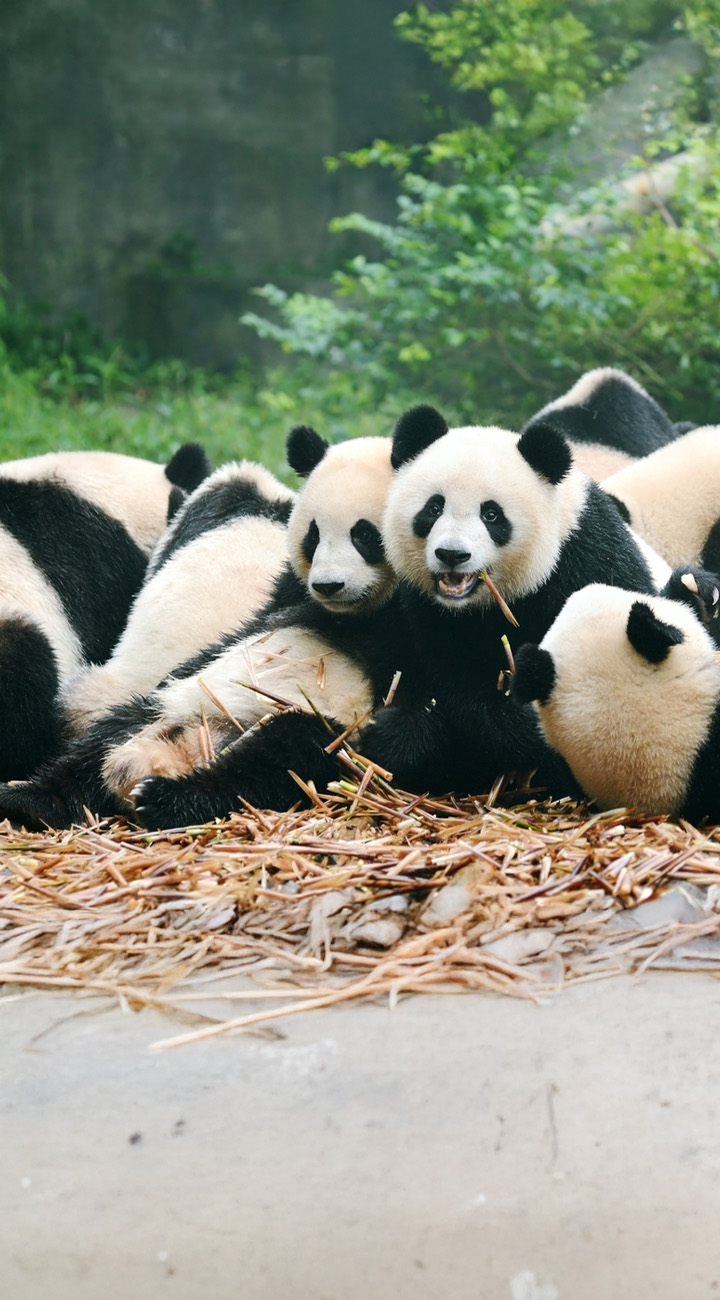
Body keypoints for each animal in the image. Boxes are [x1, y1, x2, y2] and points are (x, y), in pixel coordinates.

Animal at [355, 403, 673, 798]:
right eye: (433, 508)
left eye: (491, 514)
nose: (452, 554)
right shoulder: (429, 612)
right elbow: (459, 681)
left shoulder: (586, 558)